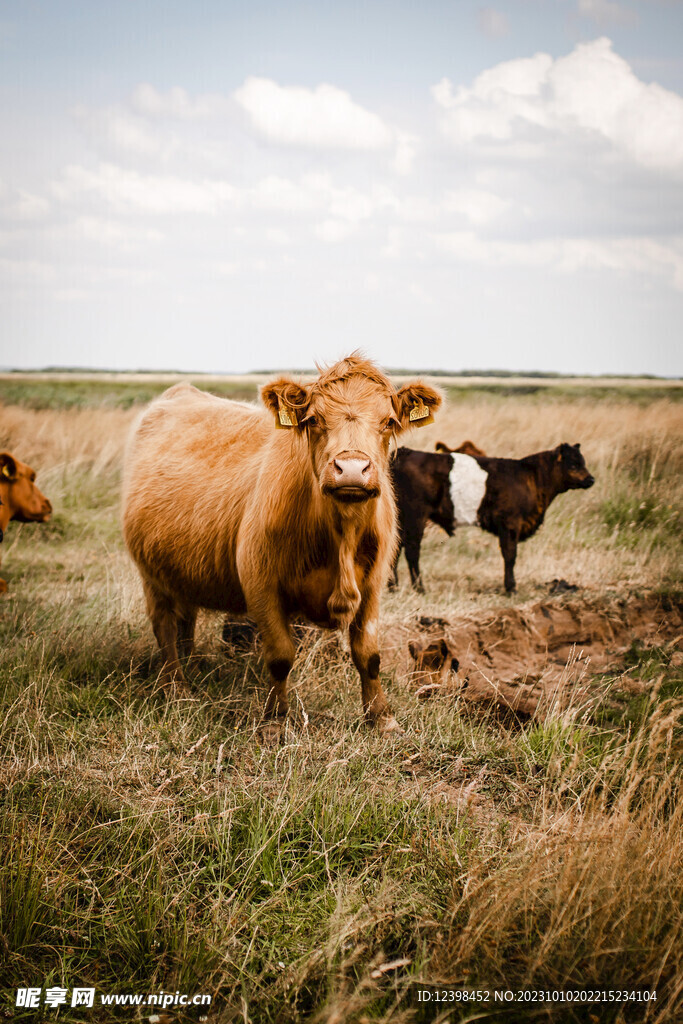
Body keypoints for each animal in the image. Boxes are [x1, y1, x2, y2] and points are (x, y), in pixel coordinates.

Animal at [122, 356, 444, 733]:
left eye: (389, 422)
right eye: (314, 419)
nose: (351, 469)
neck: (341, 536)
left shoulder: (374, 585)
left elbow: (369, 655)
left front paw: (382, 718)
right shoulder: (261, 583)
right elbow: (280, 656)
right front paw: (275, 721)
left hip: (180, 567)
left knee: (186, 618)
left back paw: (192, 665)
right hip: (151, 573)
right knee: (165, 626)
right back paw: (176, 687)